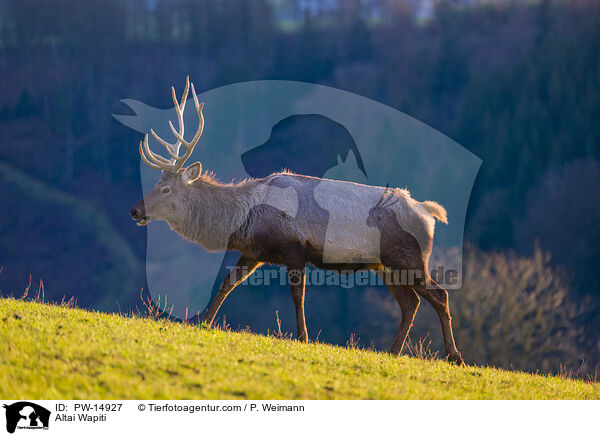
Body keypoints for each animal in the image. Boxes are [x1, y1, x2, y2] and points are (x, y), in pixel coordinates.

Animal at [130, 76, 464, 362]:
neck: (245, 215)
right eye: (157, 184)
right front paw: (204, 322)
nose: (135, 211)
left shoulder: (294, 248)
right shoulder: (254, 252)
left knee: (440, 295)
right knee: (411, 303)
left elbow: (297, 296)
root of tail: (429, 213)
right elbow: (227, 284)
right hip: (385, 266)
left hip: (410, 258)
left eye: (166, 189)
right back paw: (393, 352)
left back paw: (454, 356)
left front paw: (303, 337)